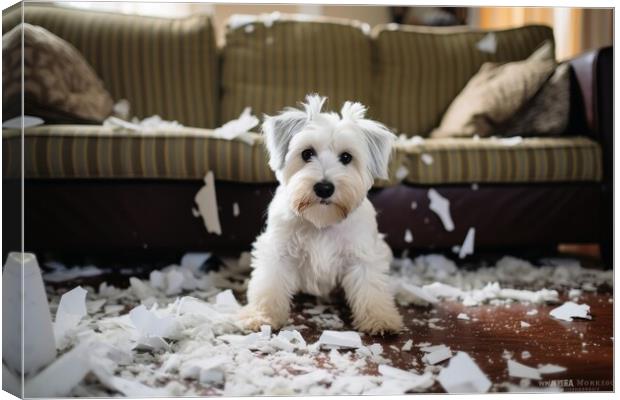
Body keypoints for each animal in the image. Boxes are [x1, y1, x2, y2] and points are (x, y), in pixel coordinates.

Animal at [237, 94, 402, 334]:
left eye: (346, 157)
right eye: (307, 153)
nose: (324, 188)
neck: (322, 221)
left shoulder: (362, 256)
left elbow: (371, 288)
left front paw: (380, 318)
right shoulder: (278, 252)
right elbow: (269, 286)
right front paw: (261, 315)